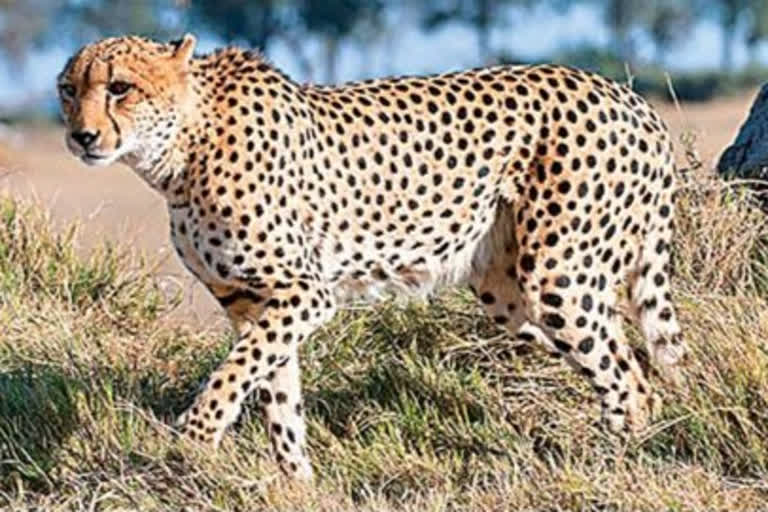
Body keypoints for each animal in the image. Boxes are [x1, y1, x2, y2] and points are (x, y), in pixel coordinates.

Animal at [57, 34, 688, 478]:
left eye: (120, 87)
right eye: (68, 89)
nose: (81, 137)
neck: (183, 146)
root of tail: (628, 96)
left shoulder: (303, 294)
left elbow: (231, 375)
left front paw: (194, 439)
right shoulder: (253, 304)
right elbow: (275, 395)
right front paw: (297, 485)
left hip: (558, 277)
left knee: (628, 378)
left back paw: (613, 467)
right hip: (508, 293)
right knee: (630, 357)